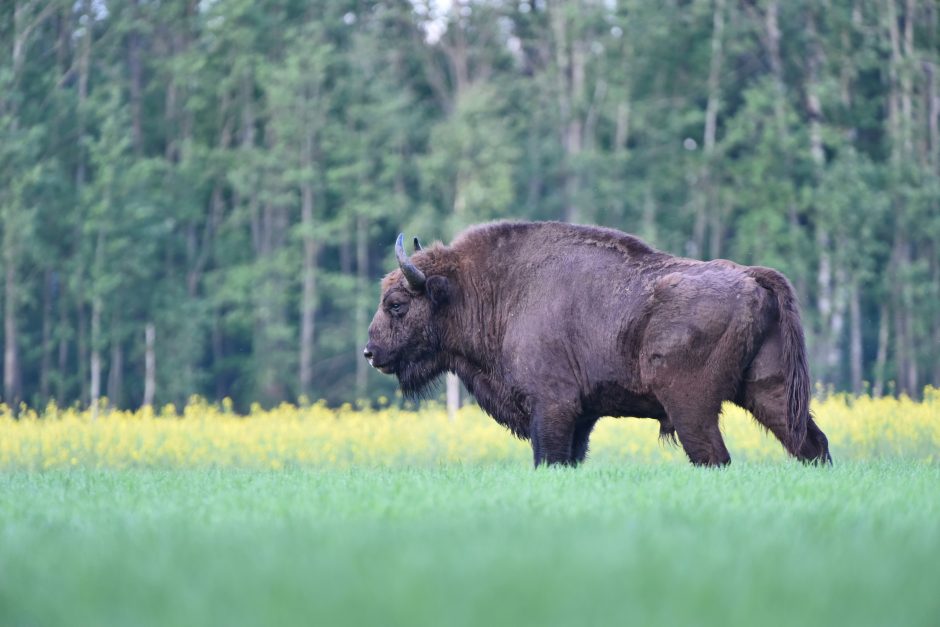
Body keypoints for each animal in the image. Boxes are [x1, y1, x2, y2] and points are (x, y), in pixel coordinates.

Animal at [364, 221, 832, 466]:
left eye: (397, 304)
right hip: (769, 394)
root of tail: (752, 276)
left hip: (691, 407)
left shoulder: (552, 406)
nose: (370, 353)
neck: (490, 289)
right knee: (810, 444)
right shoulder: (581, 417)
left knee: (714, 456)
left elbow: (548, 457)